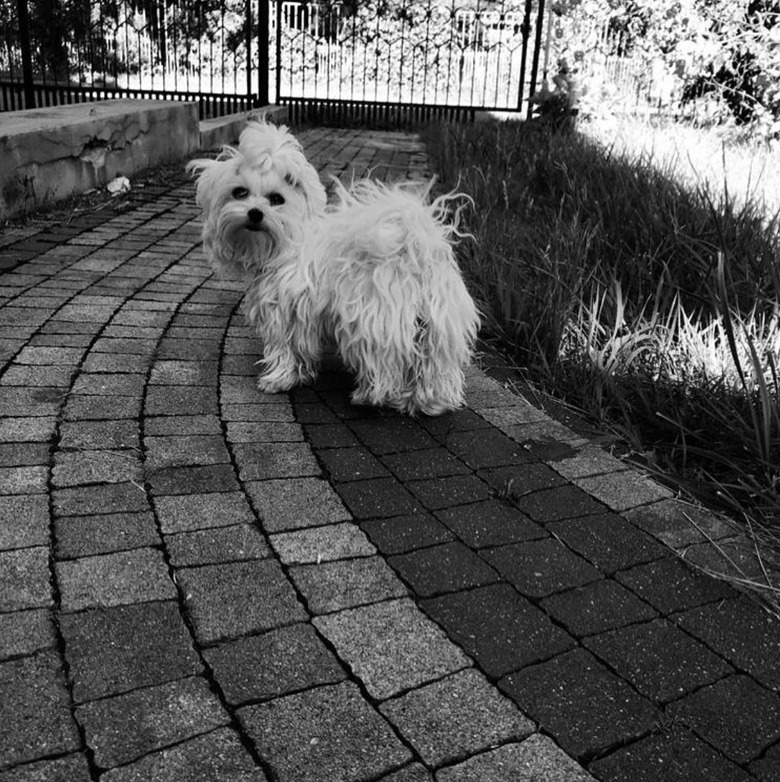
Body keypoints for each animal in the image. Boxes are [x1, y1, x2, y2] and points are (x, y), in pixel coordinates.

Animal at [189, 119, 482, 416]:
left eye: (276, 199)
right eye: (240, 192)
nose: (255, 213)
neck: (290, 238)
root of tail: (414, 250)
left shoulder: (283, 313)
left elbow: (285, 350)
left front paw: (278, 379)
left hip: (372, 324)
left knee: (385, 367)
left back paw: (370, 396)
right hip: (437, 327)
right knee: (435, 369)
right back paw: (429, 401)